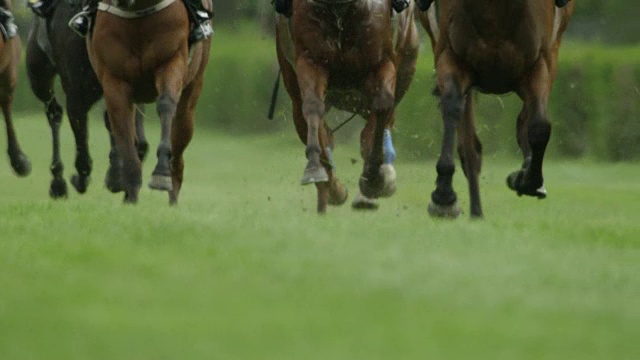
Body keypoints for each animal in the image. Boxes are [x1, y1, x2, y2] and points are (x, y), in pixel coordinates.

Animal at [26, 0, 149, 197]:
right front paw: (83, 179)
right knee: (54, 112)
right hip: (39, 77)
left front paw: (116, 175)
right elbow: (83, 153)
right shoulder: (76, 96)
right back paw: (58, 181)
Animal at [87, 0, 211, 204]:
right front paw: (130, 195)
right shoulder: (114, 80)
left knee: (179, 149)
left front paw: (161, 173)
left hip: (193, 89)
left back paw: (173, 197)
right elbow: (123, 130)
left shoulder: (171, 59)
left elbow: (166, 104)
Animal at [276, 0, 420, 212]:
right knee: (316, 127)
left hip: (406, 62)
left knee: (378, 123)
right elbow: (312, 108)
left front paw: (374, 178)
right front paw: (316, 170)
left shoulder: (382, 62)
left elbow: (382, 106)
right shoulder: (309, 60)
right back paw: (331, 189)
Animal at [418, 0, 576, 218]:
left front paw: (526, 180)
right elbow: (452, 108)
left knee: (526, 119)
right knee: (470, 147)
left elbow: (540, 127)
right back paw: (475, 212)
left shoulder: (540, 64)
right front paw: (444, 196)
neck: (494, 8)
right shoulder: (450, 56)